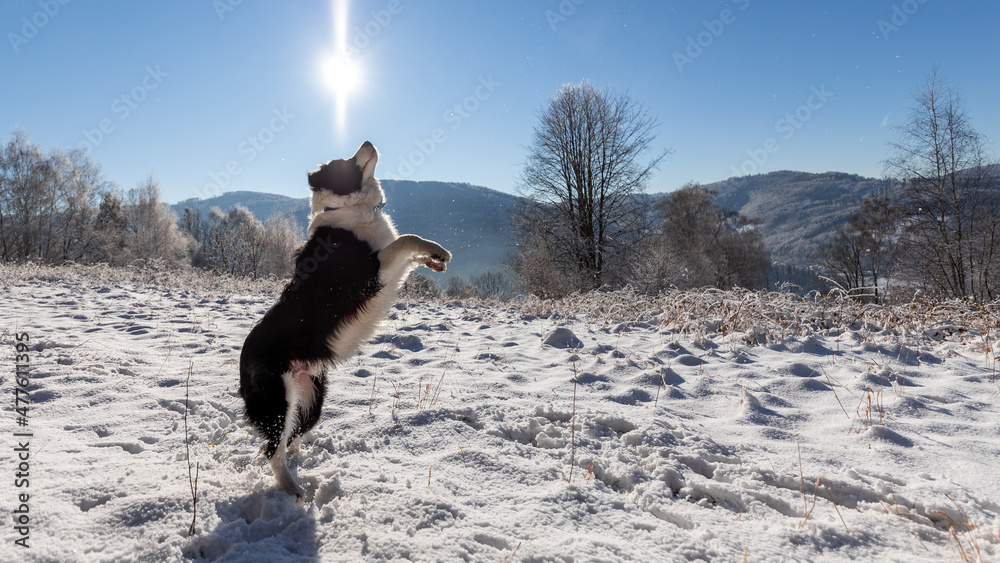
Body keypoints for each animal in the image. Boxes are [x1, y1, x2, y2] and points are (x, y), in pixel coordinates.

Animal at [238, 142, 450, 502]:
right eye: (343, 162)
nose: (368, 142)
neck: (347, 208)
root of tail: (241, 360)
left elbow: (407, 247)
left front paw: (433, 258)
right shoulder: (370, 275)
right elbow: (406, 239)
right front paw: (437, 250)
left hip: (311, 399)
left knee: (289, 439)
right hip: (280, 399)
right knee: (273, 451)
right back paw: (293, 490)